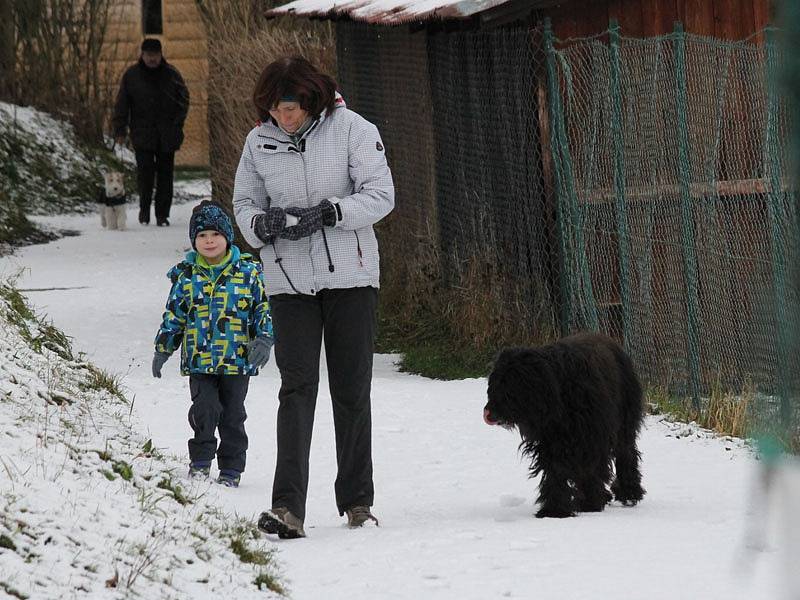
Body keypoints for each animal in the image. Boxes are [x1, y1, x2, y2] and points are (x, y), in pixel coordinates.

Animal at [484, 330, 648, 516]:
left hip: (624, 422)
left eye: (509, 384)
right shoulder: (551, 442)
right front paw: (554, 509)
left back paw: (629, 492)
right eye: (494, 383)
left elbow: (590, 469)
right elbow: (556, 471)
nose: (489, 412)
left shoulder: (592, 438)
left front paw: (590, 503)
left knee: (626, 453)